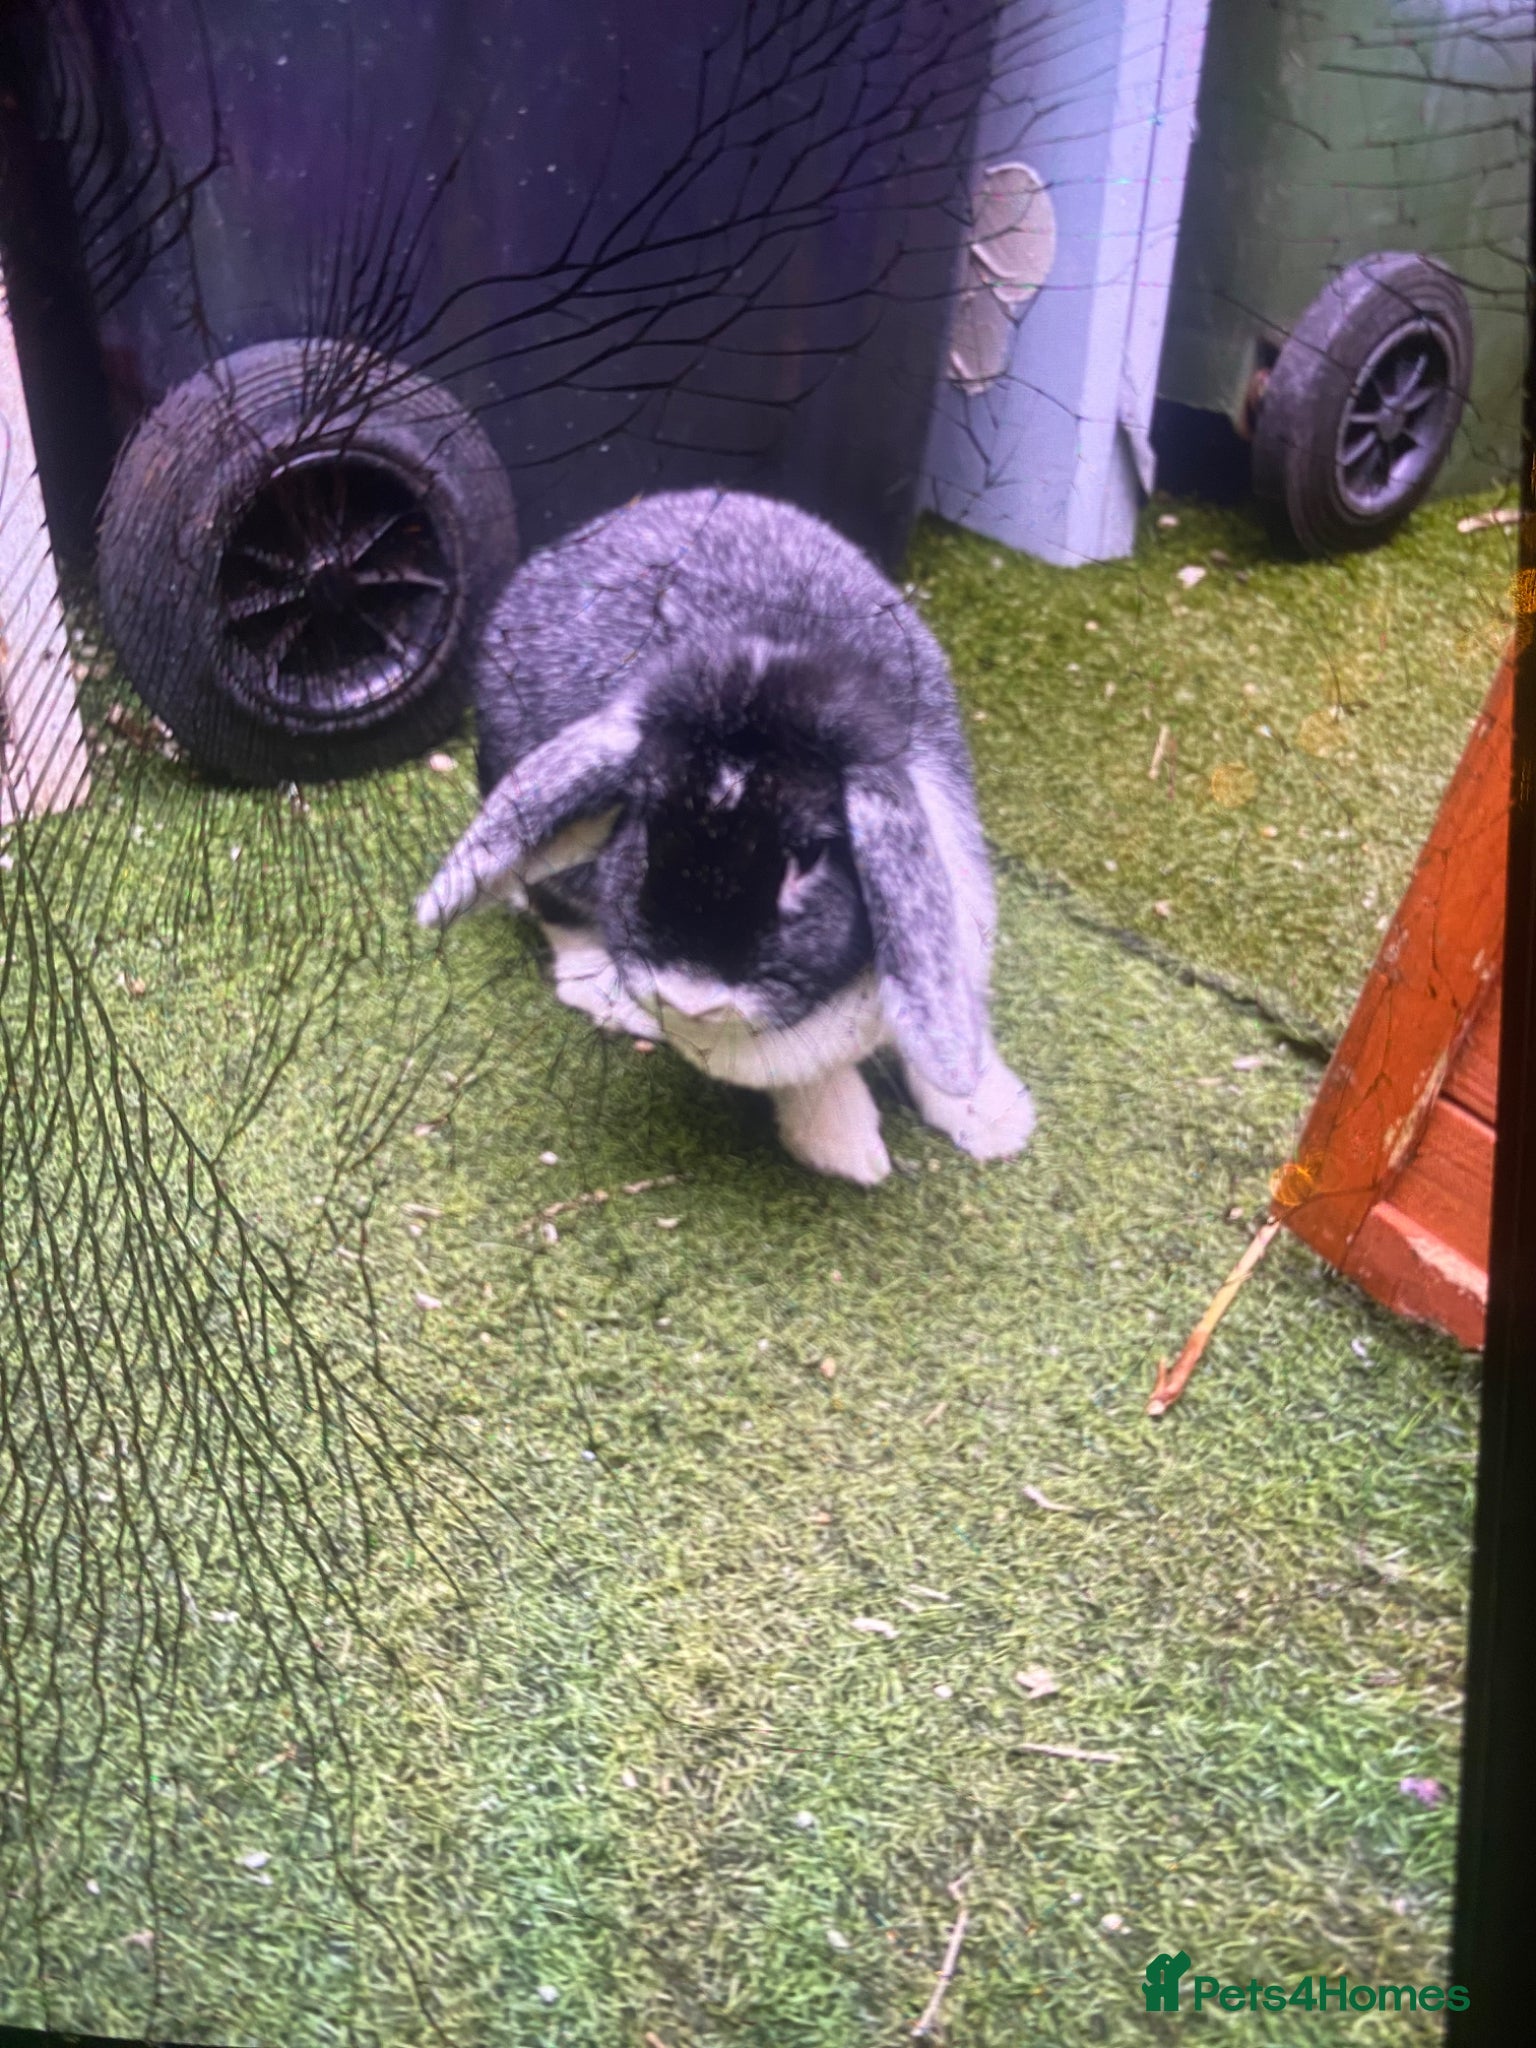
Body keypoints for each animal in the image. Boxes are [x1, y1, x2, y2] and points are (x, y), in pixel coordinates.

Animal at [415, 487, 1034, 1186]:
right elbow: (812, 1079)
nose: (689, 997)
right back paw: (609, 996)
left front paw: (994, 1120)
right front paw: (847, 1150)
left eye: (806, 860)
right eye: (643, 828)